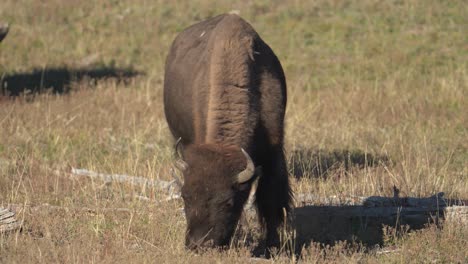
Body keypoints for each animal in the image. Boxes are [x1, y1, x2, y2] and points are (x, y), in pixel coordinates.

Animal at [163, 13, 290, 250]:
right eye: (185, 196)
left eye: (228, 202)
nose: (198, 243)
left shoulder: (274, 150)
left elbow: (270, 198)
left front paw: (271, 246)